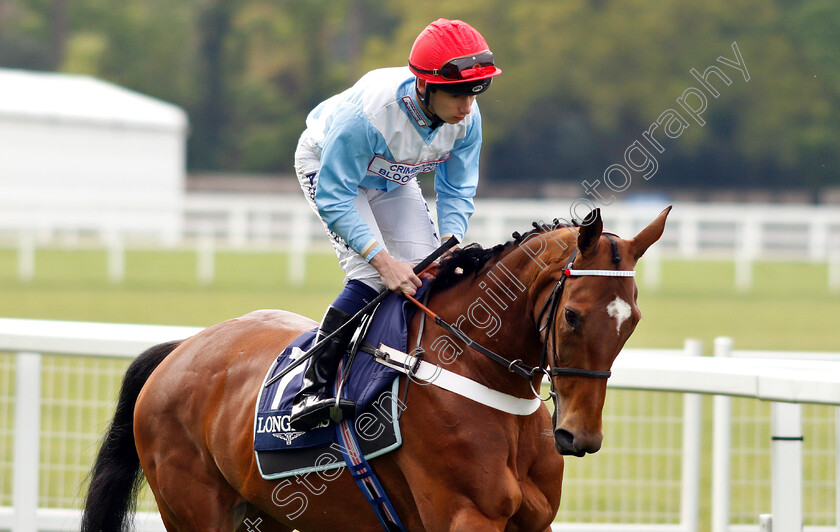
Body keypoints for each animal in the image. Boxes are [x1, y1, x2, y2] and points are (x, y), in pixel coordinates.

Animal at [80, 206, 668, 528]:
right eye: (572, 315)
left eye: (633, 320)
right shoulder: (466, 516)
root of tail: (179, 350)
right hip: (193, 510)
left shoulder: (534, 521)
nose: (579, 435)